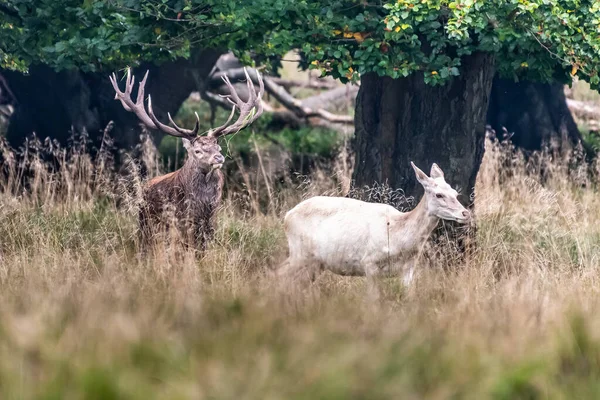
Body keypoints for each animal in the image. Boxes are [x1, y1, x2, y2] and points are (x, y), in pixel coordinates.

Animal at [278, 162, 472, 294]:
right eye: (439, 195)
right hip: (299, 252)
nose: (465, 213)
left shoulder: (408, 269)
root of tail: (287, 216)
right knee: (278, 274)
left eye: (455, 193)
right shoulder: (369, 263)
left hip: (316, 262)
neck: (398, 236)